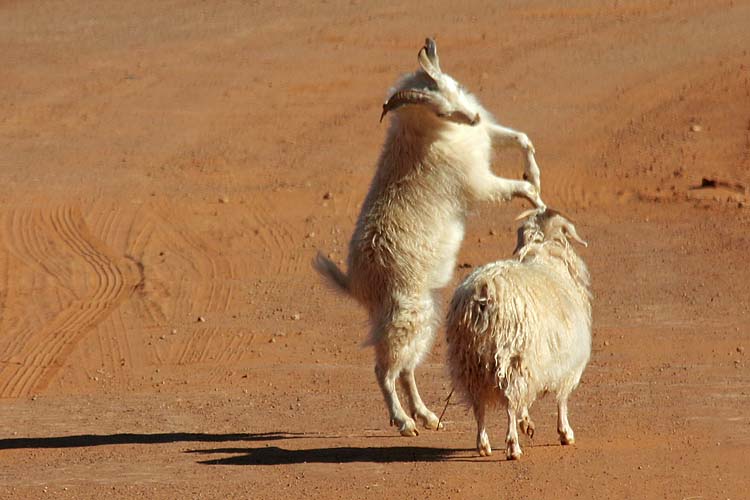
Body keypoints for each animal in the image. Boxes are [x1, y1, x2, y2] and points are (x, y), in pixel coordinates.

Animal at [316, 38, 548, 438]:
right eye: (439, 111)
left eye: (449, 88)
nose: (471, 118)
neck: (428, 133)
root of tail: (355, 284)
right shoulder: (481, 182)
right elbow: (520, 190)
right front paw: (541, 203)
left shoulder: (488, 134)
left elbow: (522, 138)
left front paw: (533, 174)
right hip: (406, 316)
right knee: (385, 370)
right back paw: (405, 422)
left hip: (423, 318)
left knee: (407, 369)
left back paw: (428, 417)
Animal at [446, 207, 592, 458]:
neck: (547, 255)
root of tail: (483, 291)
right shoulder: (566, 363)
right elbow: (562, 399)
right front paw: (565, 433)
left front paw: (528, 424)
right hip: (511, 355)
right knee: (509, 404)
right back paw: (513, 447)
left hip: (470, 362)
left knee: (479, 405)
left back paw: (483, 444)